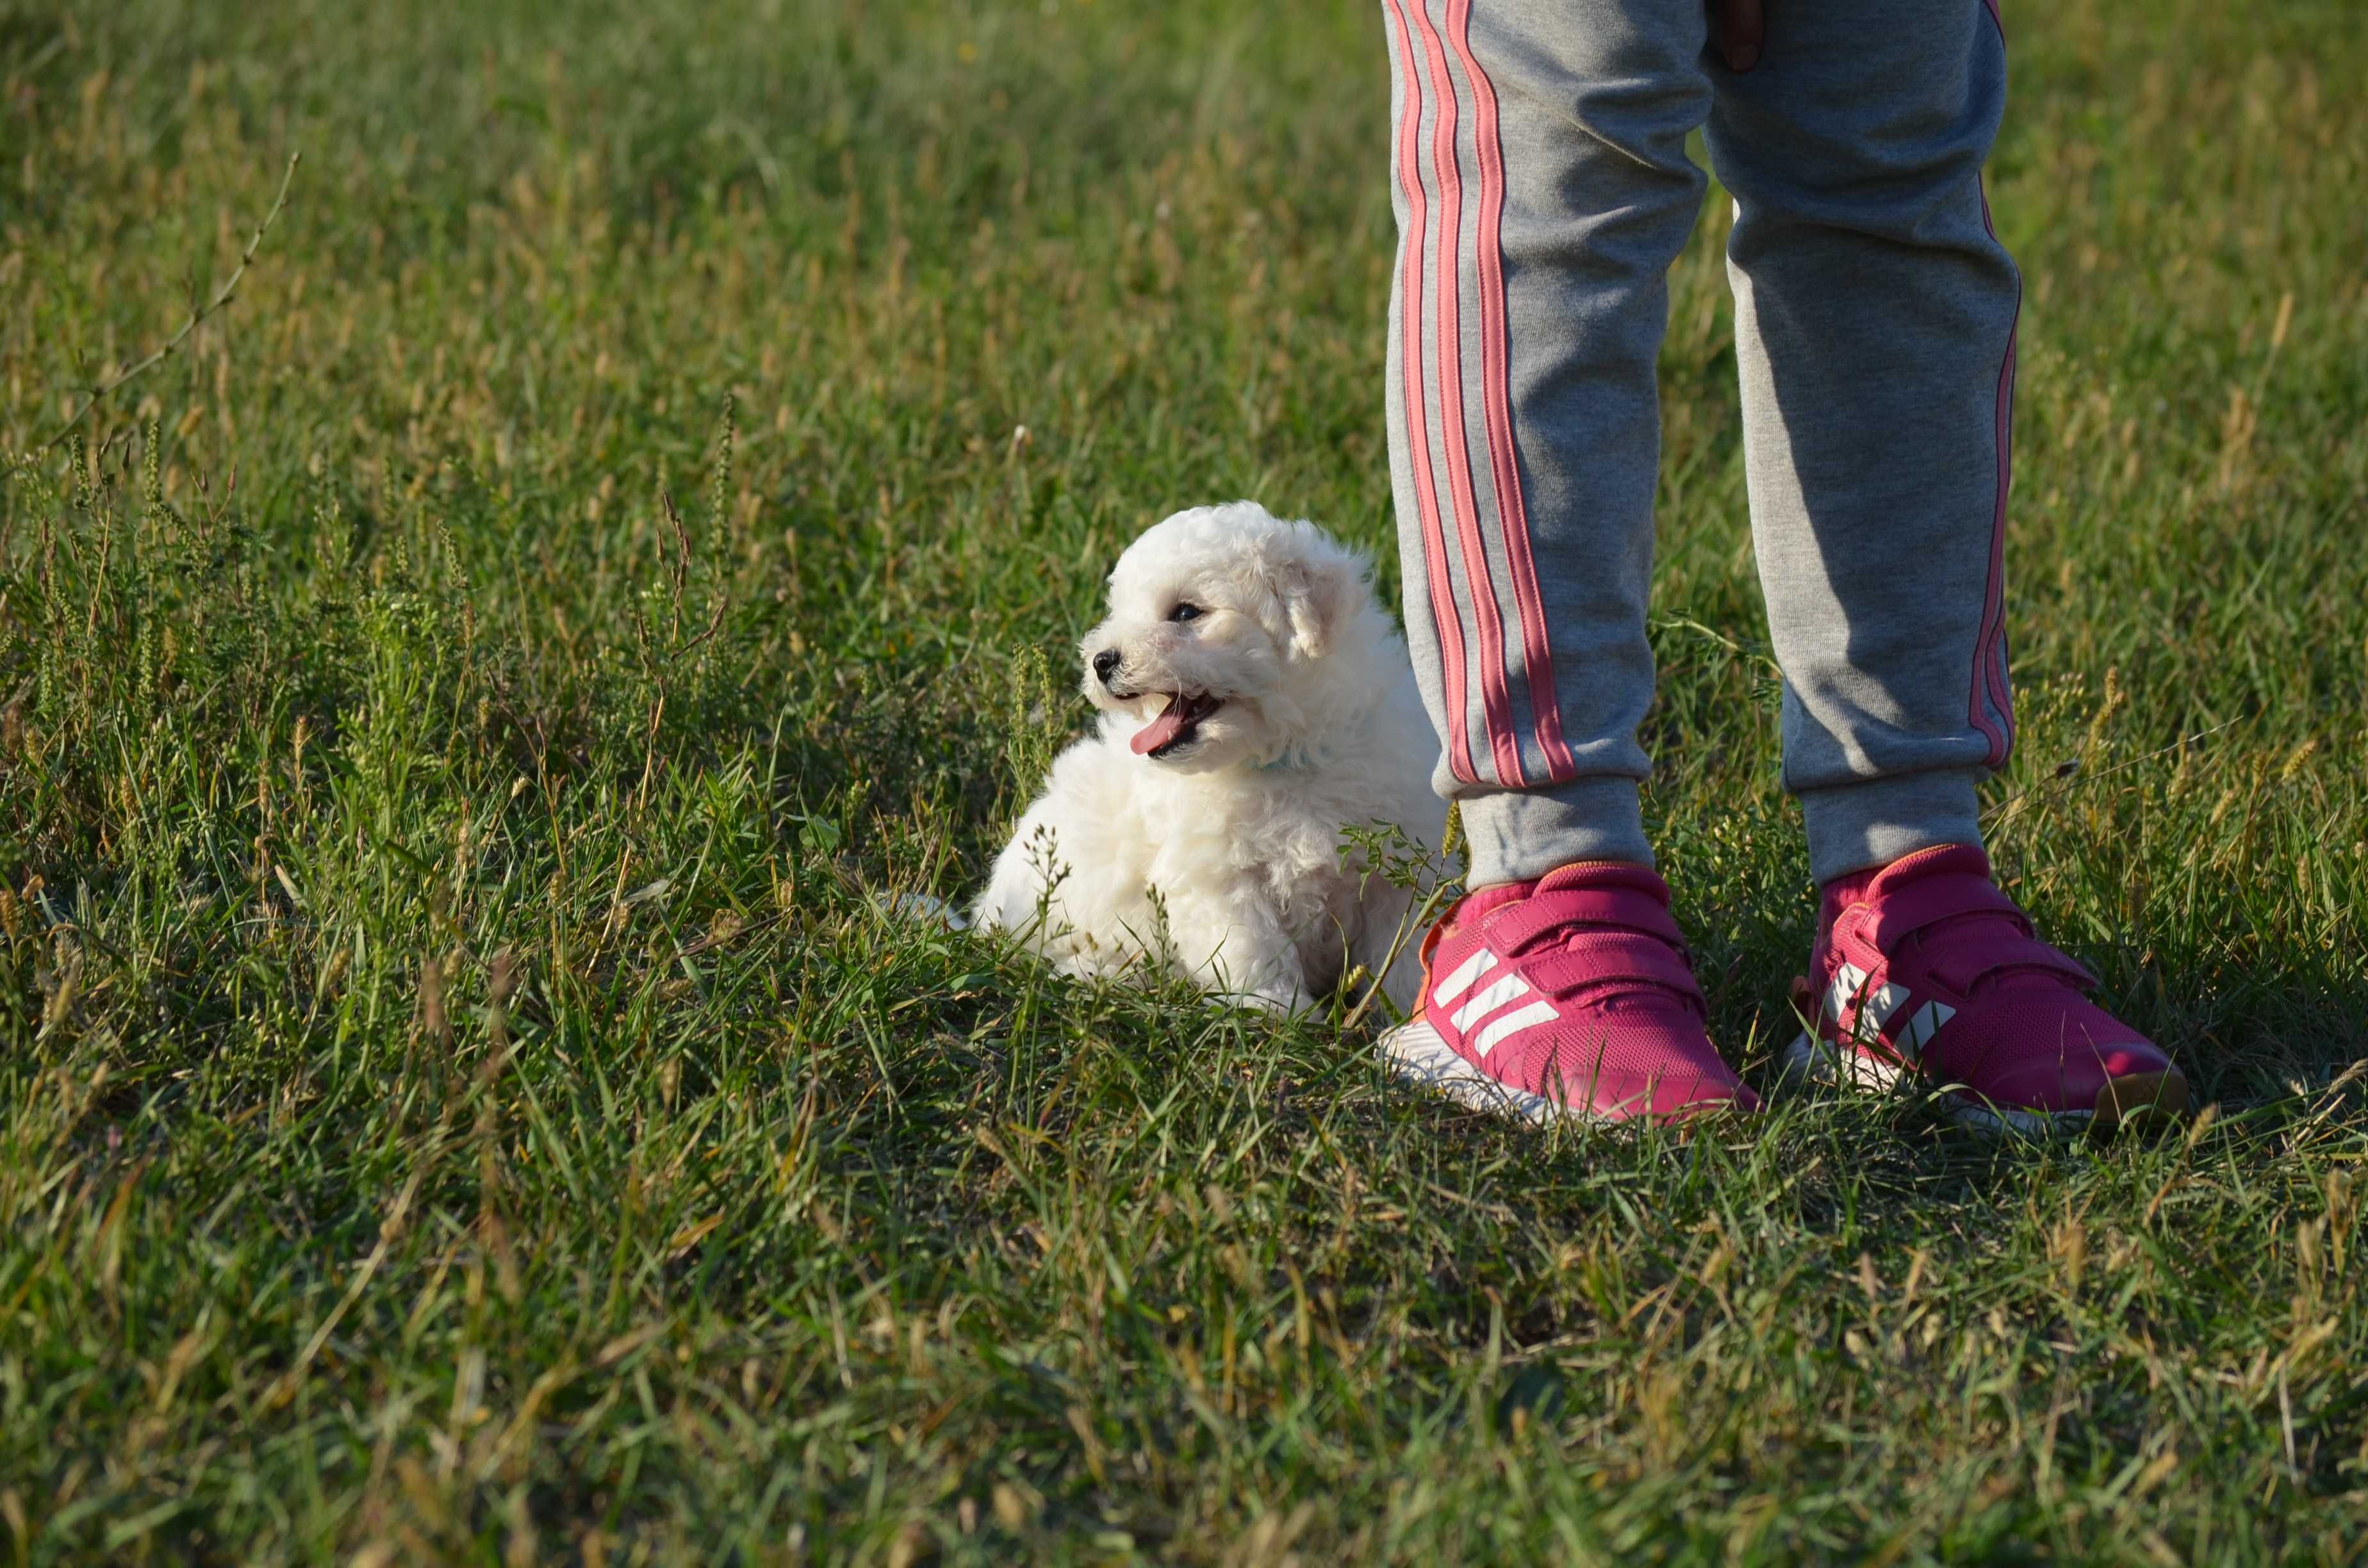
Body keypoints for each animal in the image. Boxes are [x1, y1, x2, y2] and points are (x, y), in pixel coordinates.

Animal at [966, 507, 1440, 1018]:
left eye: (1187, 613)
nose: (1101, 661)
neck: (1282, 759)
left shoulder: (1398, 871)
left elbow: (1403, 948)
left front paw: (1411, 1011)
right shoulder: (1218, 878)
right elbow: (1253, 952)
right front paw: (1276, 1015)